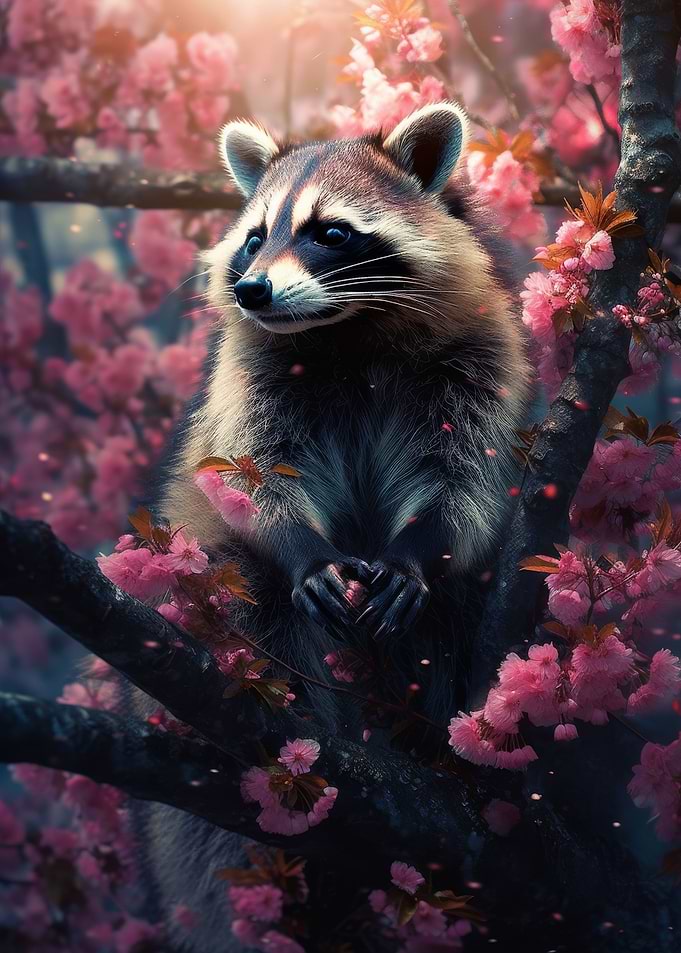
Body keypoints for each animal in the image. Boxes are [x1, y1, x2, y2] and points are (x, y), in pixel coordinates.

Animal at [134, 103, 531, 951]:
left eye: (330, 232)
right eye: (254, 237)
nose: (250, 289)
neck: (346, 328)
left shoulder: (477, 359)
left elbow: (463, 484)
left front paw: (416, 553)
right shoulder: (254, 378)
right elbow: (251, 478)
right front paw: (304, 553)